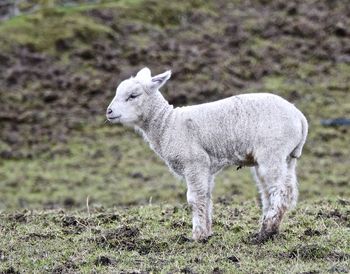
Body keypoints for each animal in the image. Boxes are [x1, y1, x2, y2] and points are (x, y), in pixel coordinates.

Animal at [105, 67, 308, 243]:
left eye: (133, 95)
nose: (109, 112)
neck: (167, 125)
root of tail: (300, 117)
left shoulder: (194, 162)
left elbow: (194, 199)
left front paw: (197, 236)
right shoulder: (206, 167)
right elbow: (206, 197)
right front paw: (207, 233)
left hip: (272, 150)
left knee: (280, 190)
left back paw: (266, 232)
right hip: (287, 156)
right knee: (278, 191)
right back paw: (267, 230)